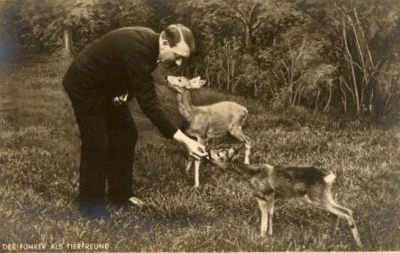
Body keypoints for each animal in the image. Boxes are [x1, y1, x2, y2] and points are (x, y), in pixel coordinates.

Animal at [209, 145, 362, 248]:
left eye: (219, 153)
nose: (209, 151)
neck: (251, 175)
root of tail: (330, 177)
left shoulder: (270, 193)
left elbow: (270, 215)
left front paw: (270, 235)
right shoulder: (260, 199)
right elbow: (263, 220)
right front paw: (261, 238)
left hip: (318, 196)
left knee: (346, 211)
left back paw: (358, 244)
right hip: (322, 196)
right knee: (337, 213)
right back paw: (332, 237)